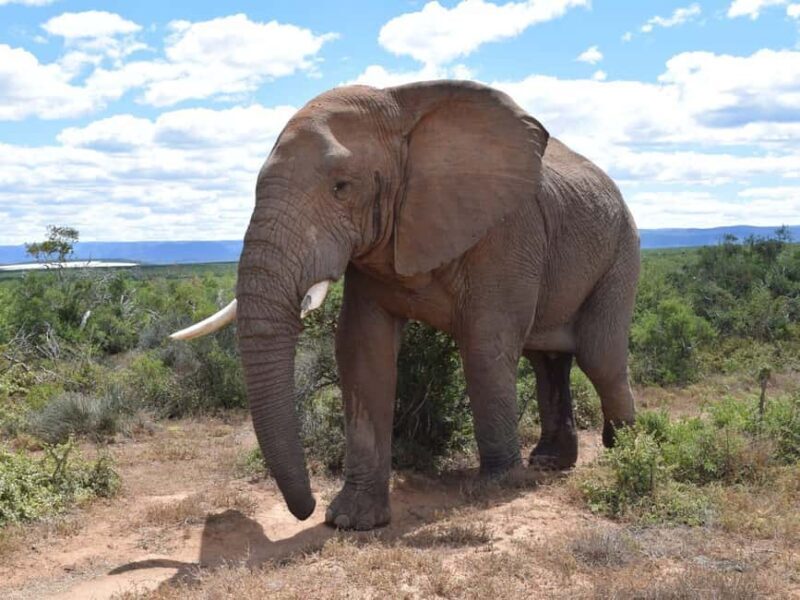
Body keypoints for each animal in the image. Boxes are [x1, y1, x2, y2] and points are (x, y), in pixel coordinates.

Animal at [171, 80, 640, 531]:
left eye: (342, 187)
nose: (305, 510)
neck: (398, 108)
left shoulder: (506, 232)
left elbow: (485, 346)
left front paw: (496, 489)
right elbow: (363, 350)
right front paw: (352, 521)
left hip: (621, 249)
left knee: (598, 356)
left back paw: (626, 452)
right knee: (546, 360)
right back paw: (549, 462)